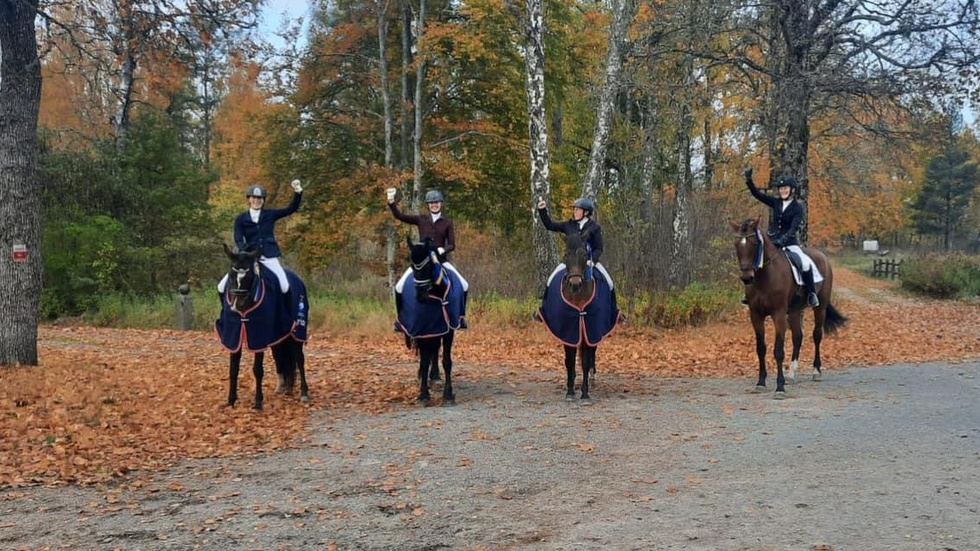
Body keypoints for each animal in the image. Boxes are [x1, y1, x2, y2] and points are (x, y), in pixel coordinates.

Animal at [216, 246, 308, 410]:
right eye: (231, 275)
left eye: (250, 276)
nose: (238, 305)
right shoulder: (234, 337)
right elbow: (233, 369)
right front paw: (231, 401)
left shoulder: (258, 337)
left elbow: (257, 370)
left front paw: (258, 402)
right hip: (278, 337)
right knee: (279, 356)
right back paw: (282, 387)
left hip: (297, 333)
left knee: (299, 359)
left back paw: (304, 393)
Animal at [396, 237, 462, 406]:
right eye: (412, 266)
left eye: (427, 266)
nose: (420, 296)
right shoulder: (423, 330)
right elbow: (424, 362)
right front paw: (424, 394)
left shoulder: (448, 329)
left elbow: (446, 361)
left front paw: (448, 394)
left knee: (435, 350)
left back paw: (435, 377)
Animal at [732, 216, 848, 396]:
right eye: (737, 244)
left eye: (754, 243)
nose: (746, 277)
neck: (765, 276)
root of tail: (822, 256)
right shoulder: (756, 315)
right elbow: (761, 348)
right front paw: (761, 382)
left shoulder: (778, 314)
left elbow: (779, 351)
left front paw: (780, 387)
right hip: (794, 311)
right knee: (798, 337)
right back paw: (791, 374)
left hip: (819, 308)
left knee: (817, 335)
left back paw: (816, 371)